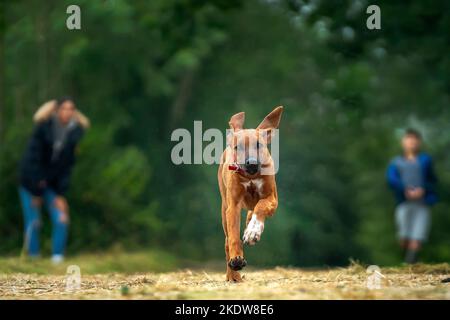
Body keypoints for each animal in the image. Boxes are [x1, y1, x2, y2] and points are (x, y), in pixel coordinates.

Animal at [217, 106, 282, 282]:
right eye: (237, 147)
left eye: (259, 145)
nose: (251, 163)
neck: (251, 176)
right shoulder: (232, 206)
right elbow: (233, 236)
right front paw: (236, 259)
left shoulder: (272, 199)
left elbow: (261, 207)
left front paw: (253, 231)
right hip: (224, 208)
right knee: (226, 241)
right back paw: (233, 276)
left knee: (253, 210)